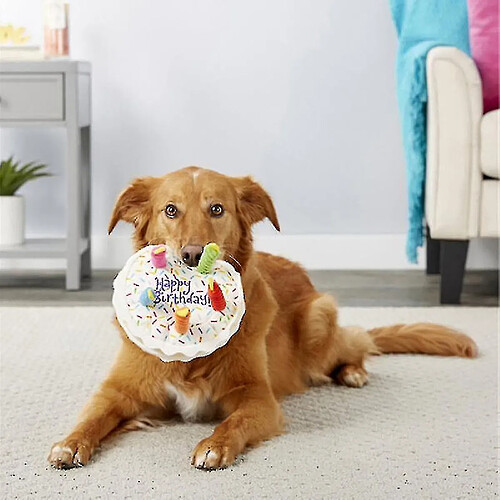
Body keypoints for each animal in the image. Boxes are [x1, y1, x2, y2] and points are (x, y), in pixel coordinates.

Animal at [48, 167, 478, 468]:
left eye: (217, 209)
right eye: (170, 210)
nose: (192, 255)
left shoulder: (259, 398)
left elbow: (233, 423)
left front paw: (214, 446)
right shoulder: (120, 391)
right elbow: (92, 416)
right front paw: (70, 443)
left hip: (318, 319)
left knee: (355, 342)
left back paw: (353, 371)